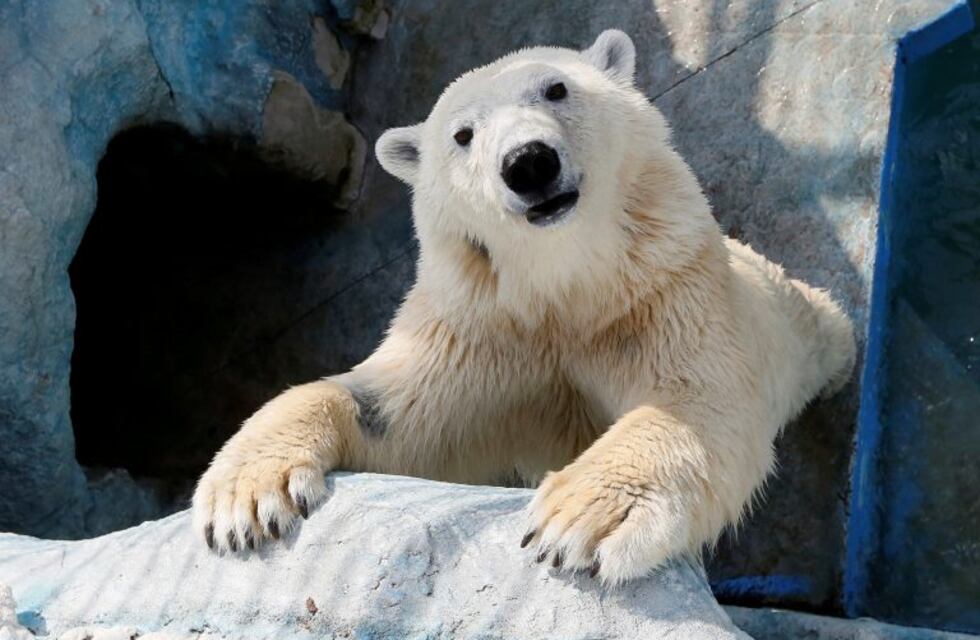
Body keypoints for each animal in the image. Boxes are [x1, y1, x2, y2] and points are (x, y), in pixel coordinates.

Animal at [191, 30, 856, 584]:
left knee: (821, 329)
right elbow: (393, 409)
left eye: (556, 88)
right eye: (462, 135)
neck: (566, 286)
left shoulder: (665, 293)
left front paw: (577, 522)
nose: (529, 162)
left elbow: (697, 397)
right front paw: (244, 499)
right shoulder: (482, 332)